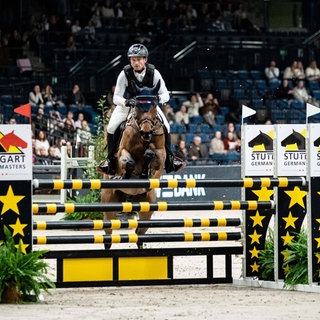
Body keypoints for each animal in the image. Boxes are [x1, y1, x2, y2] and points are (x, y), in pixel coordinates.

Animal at [101, 81, 166, 249]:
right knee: (108, 233)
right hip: (108, 205)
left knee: (139, 234)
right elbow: (128, 161)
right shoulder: (122, 152)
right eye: (136, 106)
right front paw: (125, 175)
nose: (146, 132)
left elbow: (153, 158)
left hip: (147, 209)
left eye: (154, 106)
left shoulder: (161, 155)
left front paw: (145, 173)